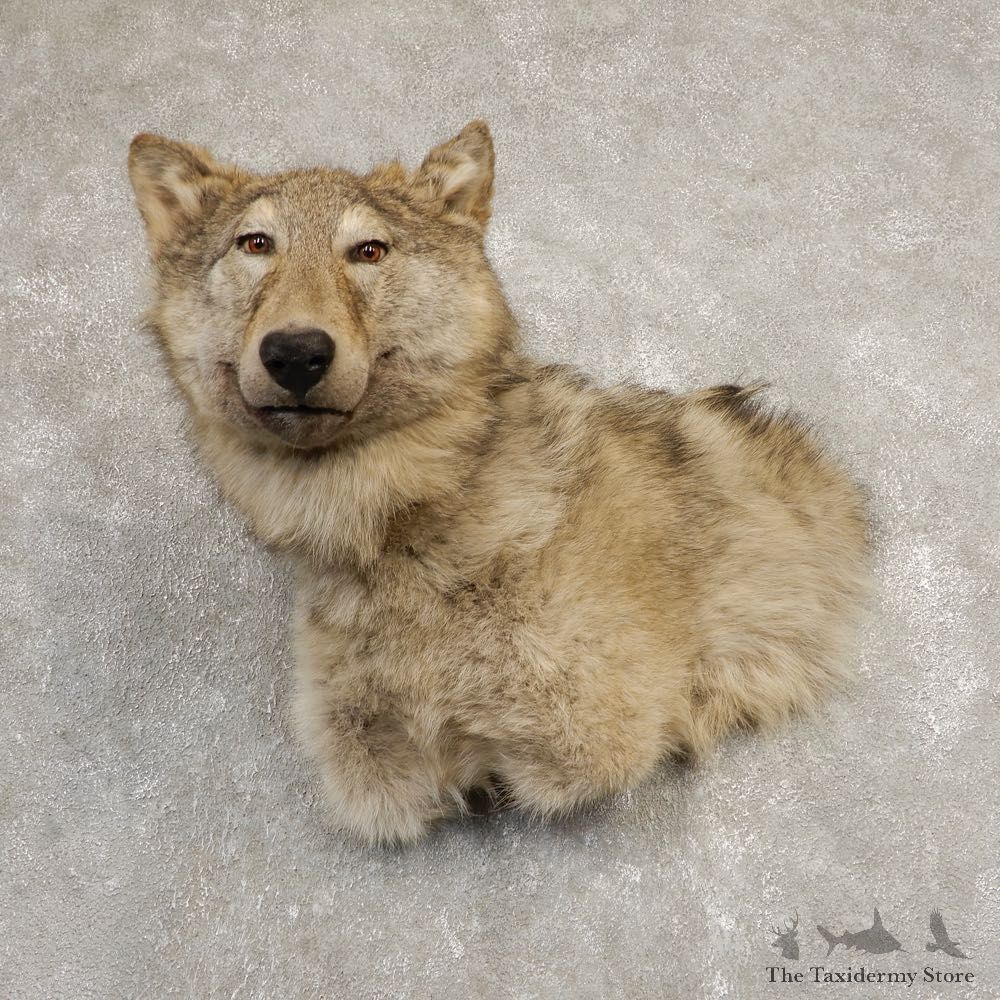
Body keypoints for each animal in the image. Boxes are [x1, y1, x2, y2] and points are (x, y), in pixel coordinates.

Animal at [127, 120, 870, 845]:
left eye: (368, 251)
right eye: (255, 244)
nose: (296, 353)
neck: (407, 535)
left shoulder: (599, 732)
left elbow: (543, 769)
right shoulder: (371, 766)